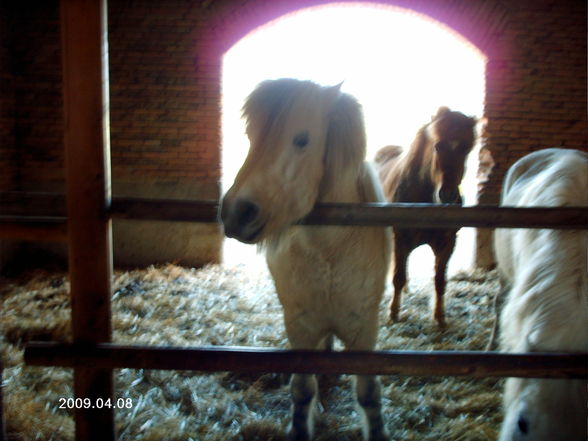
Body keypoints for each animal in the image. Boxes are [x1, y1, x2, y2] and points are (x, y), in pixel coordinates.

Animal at [220, 79, 390, 440]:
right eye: (252, 137)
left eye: (301, 140)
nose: (236, 213)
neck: (330, 250)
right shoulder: (299, 327)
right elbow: (302, 391)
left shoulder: (365, 329)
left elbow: (369, 395)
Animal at [376, 106, 478, 326]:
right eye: (438, 146)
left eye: (466, 148)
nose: (447, 195)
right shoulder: (400, 239)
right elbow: (398, 277)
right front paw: (393, 313)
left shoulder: (447, 244)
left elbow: (440, 281)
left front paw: (439, 317)